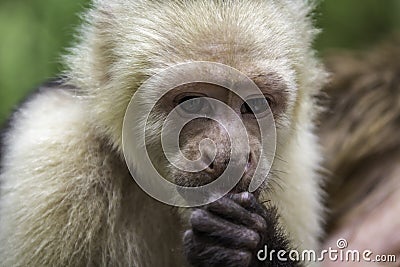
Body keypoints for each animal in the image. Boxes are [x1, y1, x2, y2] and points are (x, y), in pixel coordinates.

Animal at [0, 0, 326, 267]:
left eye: (254, 104)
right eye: (190, 102)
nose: (229, 158)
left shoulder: (297, 174)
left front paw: (247, 247)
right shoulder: (55, 152)